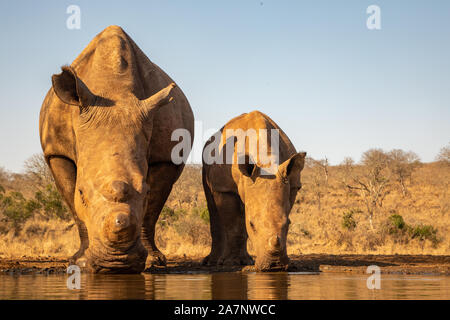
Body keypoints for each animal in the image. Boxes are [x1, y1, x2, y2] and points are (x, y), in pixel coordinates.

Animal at [38, 26, 193, 274]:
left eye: (146, 192)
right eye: (82, 193)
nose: (116, 264)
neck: (113, 88)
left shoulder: (166, 156)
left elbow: (151, 211)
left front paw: (153, 261)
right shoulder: (56, 152)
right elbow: (74, 206)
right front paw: (78, 261)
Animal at [203, 111, 306, 272]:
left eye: (288, 224)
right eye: (252, 225)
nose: (275, 266)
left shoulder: (292, 184)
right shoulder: (225, 188)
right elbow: (233, 224)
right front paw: (231, 263)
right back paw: (214, 262)